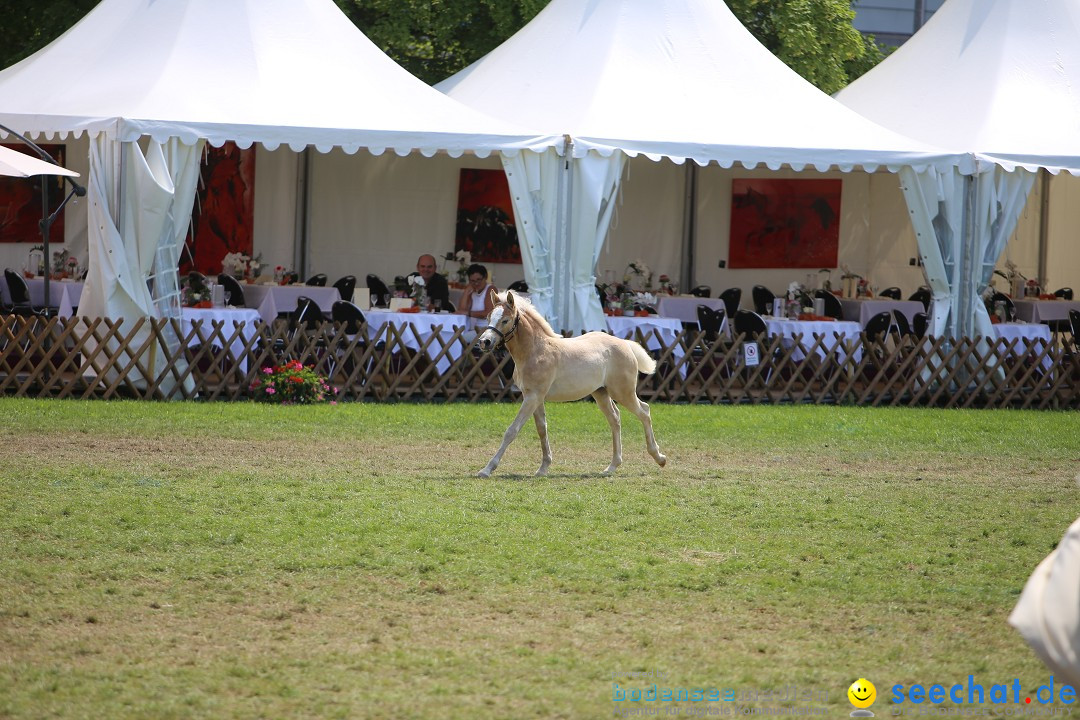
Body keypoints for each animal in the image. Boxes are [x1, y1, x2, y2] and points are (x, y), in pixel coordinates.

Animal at [475, 287, 665, 479]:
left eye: (505, 320)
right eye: (489, 317)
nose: (484, 342)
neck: (535, 351)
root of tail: (625, 344)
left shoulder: (533, 397)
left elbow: (512, 431)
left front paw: (486, 469)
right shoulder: (535, 397)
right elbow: (542, 429)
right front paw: (543, 468)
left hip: (623, 392)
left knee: (644, 412)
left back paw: (659, 457)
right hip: (601, 393)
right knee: (615, 418)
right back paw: (612, 466)